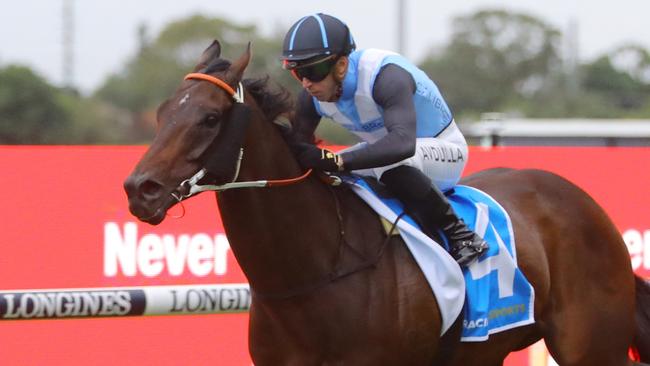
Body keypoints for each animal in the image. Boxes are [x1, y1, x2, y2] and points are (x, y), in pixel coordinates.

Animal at [124, 41, 648, 364]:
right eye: (163, 113)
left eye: (210, 118)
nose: (138, 189)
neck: (316, 271)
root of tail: (581, 200)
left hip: (592, 348)